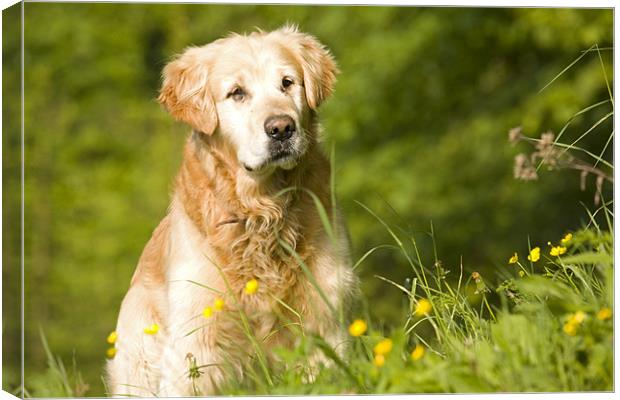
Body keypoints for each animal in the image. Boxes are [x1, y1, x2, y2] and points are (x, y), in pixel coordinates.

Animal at [106, 25, 358, 396]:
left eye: (287, 83)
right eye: (236, 93)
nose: (282, 128)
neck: (262, 209)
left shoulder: (323, 316)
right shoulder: (196, 338)